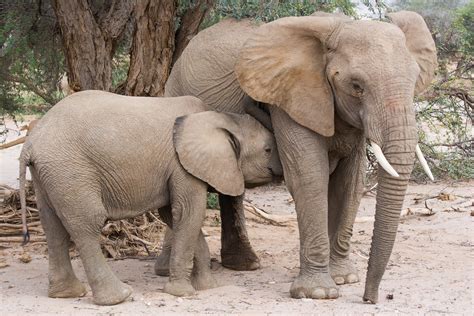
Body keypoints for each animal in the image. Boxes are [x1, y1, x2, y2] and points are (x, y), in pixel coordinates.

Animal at [20, 89, 280, 306]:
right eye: (267, 149)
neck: (216, 117)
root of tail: (30, 143)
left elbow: (175, 216)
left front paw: (207, 287)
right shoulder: (182, 165)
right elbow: (188, 212)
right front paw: (183, 293)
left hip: (49, 174)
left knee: (53, 227)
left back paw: (67, 294)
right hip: (70, 171)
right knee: (87, 225)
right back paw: (118, 298)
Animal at [161, 11, 436, 302]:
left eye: (415, 80)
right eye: (356, 86)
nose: (368, 299)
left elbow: (350, 184)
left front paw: (344, 278)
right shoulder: (288, 97)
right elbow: (309, 177)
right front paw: (319, 292)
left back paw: (245, 265)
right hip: (175, 92)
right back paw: (167, 270)